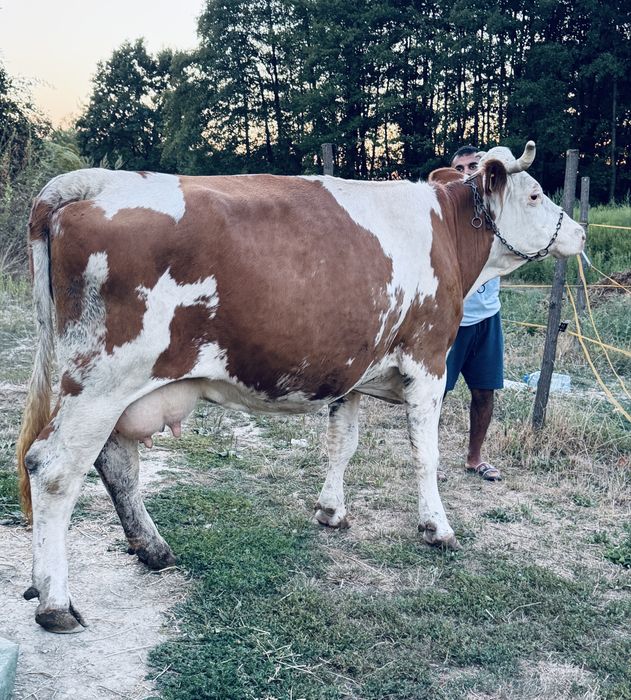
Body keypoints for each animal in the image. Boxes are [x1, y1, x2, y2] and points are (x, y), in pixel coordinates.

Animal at [16, 142, 584, 633]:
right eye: (535, 194)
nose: (578, 232)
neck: (443, 229)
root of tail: (92, 182)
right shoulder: (428, 361)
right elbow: (426, 455)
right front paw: (437, 528)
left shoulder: (351, 370)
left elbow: (341, 445)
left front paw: (331, 511)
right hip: (101, 380)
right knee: (53, 469)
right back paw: (56, 602)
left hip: (113, 390)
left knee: (115, 463)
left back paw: (150, 549)